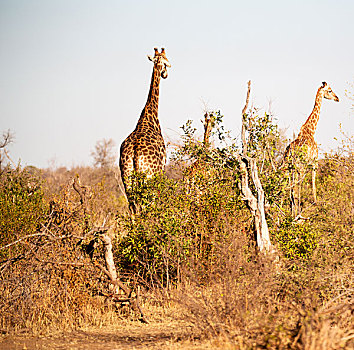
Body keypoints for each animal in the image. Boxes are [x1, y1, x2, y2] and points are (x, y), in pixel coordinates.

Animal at [119, 47, 172, 211]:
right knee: (147, 206)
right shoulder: (161, 171)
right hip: (149, 177)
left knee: (133, 208)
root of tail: (134, 153)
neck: (149, 116)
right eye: (167, 62)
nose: (166, 74)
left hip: (127, 176)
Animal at [284, 81, 338, 215]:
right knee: (296, 188)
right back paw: (297, 213)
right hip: (300, 167)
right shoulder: (314, 162)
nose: (337, 98)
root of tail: (290, 152)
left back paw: (291, 213)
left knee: (290, 188)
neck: (311, 130)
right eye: (330, 90)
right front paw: (316, 204)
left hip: (289, 168)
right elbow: (313, 184)